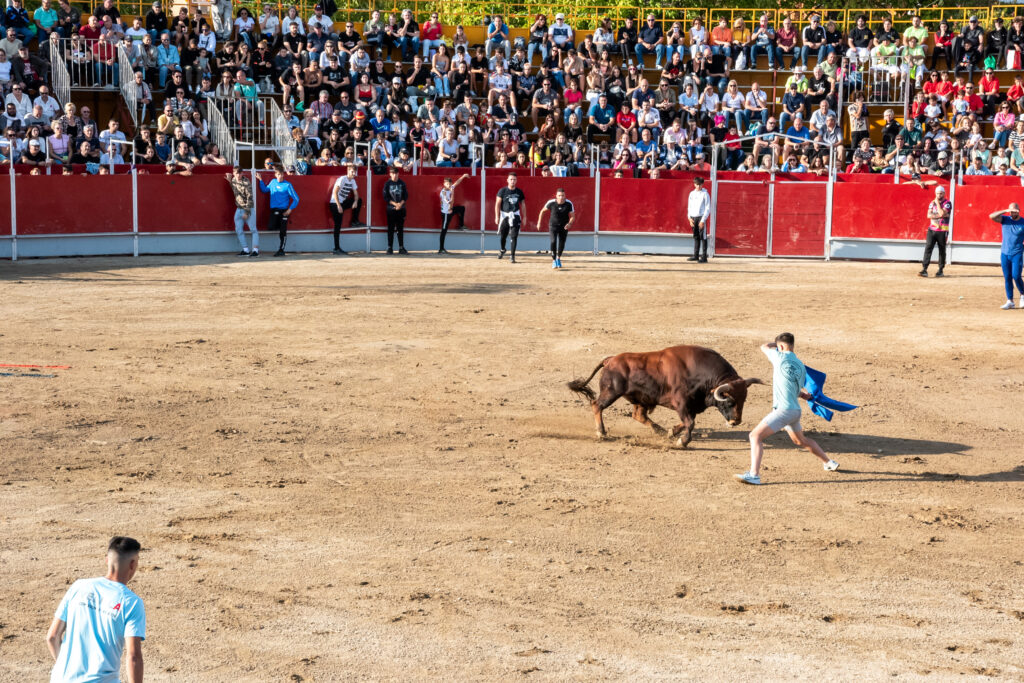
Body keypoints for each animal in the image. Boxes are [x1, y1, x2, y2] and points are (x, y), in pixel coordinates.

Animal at [569, 348, 761, 448]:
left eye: (744, 399)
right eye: (729, 400)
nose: (736, 421)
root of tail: (611, 359)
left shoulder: (691, 405)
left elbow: (686, 422)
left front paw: (671, 432)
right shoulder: (681, 403)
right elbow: (690, 422)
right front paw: (682, 441)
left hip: (641, 399)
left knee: (638, 415)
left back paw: (659, 430)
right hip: (611, 392)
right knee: (597, 405)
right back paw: (601, 432)